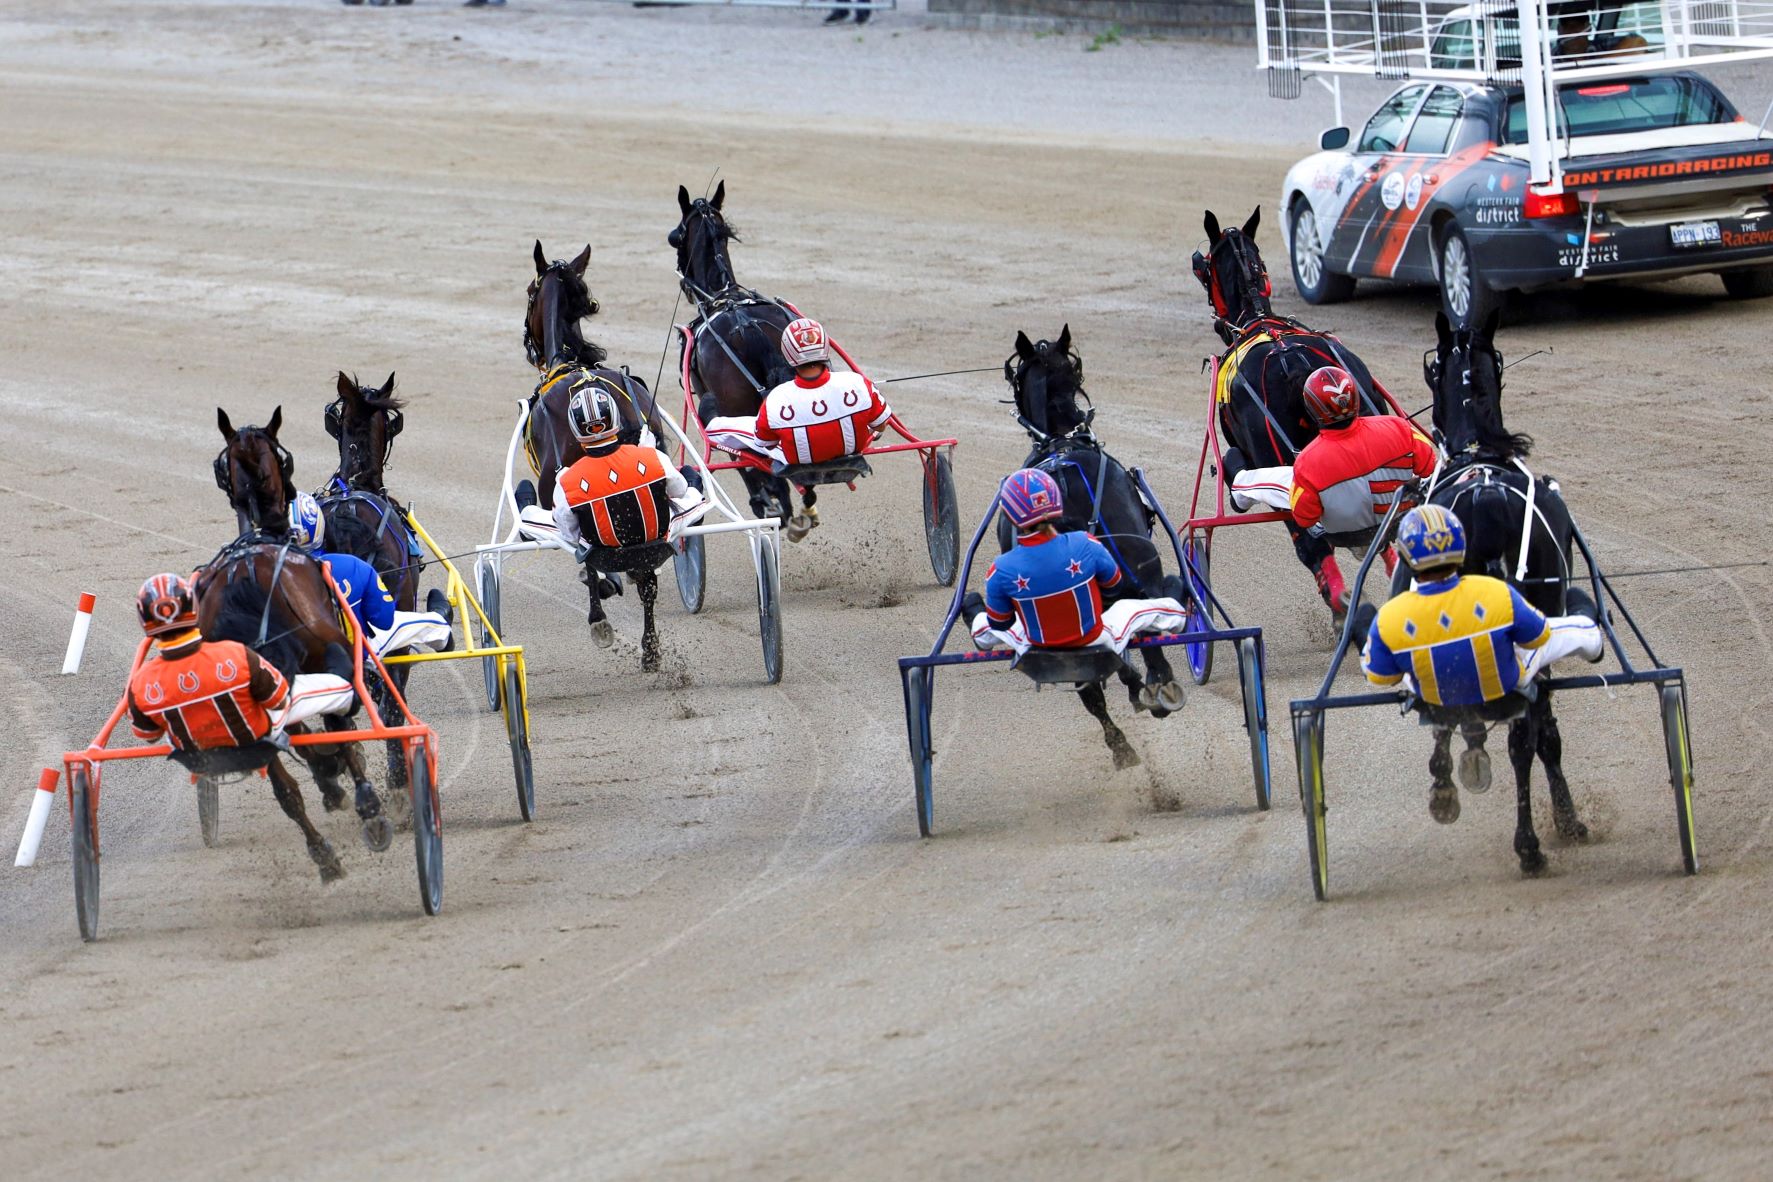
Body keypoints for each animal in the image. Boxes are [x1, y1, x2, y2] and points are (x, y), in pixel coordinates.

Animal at [521, 241, 673, 666]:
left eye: (529, 292)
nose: (529, 346)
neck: (570, 363)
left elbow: (589, 558)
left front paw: (604, 592)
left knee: (595, 561)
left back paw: (600, 617)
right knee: (647, 576)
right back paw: (650, 647)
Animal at [1191, 207, 1397, 623]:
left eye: (1205, 267)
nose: (1219, 322)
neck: (1256, 321)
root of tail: (1293, 359)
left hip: (1275, 459)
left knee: (1310, 546)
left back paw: (1342, 606)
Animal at [1397, 310, 1595, 875]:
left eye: (1431, 367)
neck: (1479, 456)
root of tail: (1485, 497)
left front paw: (1450, 777)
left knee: (1515, 732)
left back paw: (1526, 841)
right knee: (1532, 735)